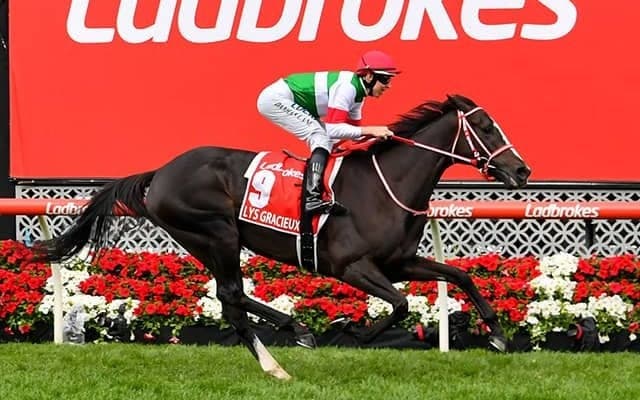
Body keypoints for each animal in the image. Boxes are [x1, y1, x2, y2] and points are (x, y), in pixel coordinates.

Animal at [36, 94, 530, 380]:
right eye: (486, 128)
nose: (522, 170)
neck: (385, 184)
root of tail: (160, 173)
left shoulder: (398, 262)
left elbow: (459, 276)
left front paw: (498, 336)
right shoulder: (352, 267)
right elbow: (401, 305)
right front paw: (352, 330)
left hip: (207, 240)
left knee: (231, 299)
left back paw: (288, 345)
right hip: (216, 234)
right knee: (231, 297)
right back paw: (287, 348)